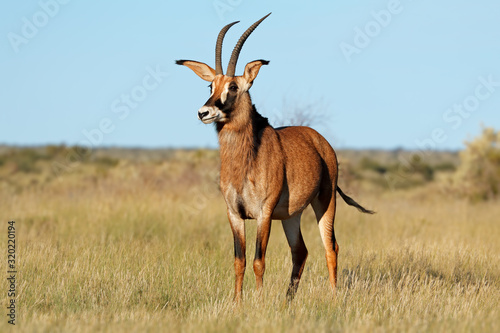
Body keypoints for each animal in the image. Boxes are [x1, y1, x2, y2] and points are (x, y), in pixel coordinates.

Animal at [178, 12, 374, 300]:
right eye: (210, 85)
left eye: (233, 86)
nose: (204, 112)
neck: (246, 159)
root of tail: (320, 141)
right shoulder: (234, 214)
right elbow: (239, 260)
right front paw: (237, 302)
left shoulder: (264, 213)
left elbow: (259, 260)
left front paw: (258, 301)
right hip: (292, 216)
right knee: (300, 251)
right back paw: (288, 300)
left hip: (325, 202)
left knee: (331, 246)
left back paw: (333, 295)